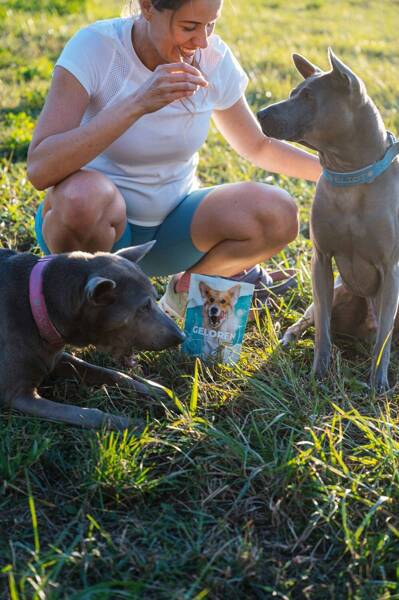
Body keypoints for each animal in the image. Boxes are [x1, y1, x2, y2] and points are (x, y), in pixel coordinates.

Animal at [0, 244, 185, 432]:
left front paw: (157, 391)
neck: (41, 303)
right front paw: (133, 424)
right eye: (144, 307)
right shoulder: (17, 394)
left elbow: (112, 373)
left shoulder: (58, 357)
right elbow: (88, 414)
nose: (181, 336)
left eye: (156, 298)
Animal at [258, 49, 399, 392]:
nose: (260, 113)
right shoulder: (321, 261)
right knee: (311, 320)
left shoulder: (391, 271)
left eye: (308, 96)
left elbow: (384, 340)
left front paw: (378, 383)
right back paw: (290, 340)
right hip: (339, 292)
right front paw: (318, 372)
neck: (349, 174)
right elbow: (322, 328)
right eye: (293, 92)